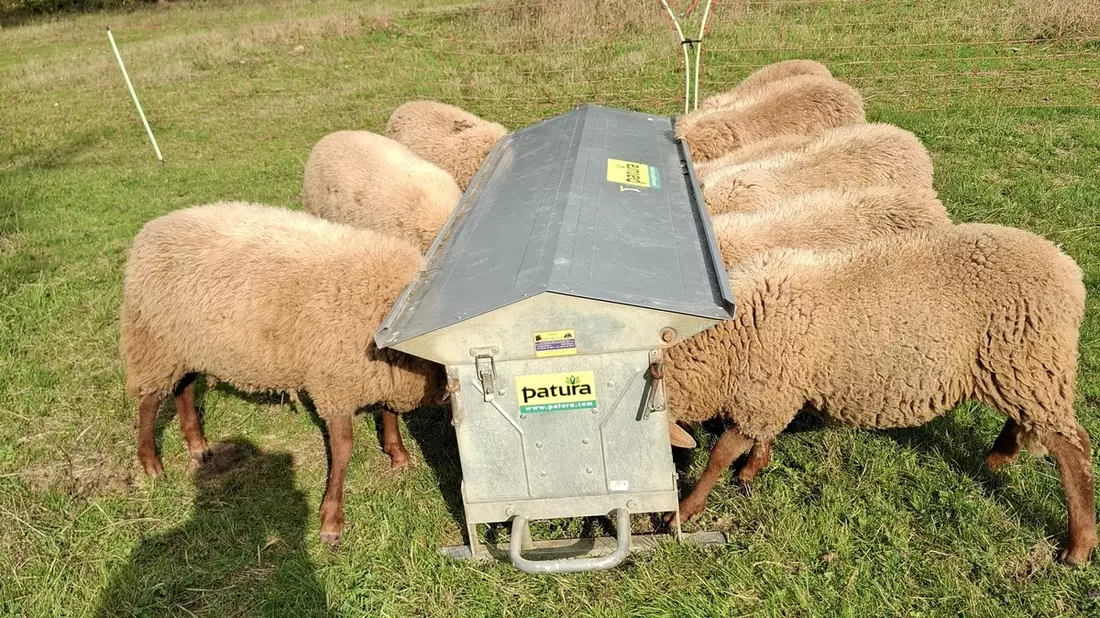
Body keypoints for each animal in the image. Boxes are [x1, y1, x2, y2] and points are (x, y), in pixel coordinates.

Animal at [121, 201, 444, 545]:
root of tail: (152, 228)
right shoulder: (334, 383)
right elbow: (343, 448)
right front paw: (331, 519)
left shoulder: (381, 372)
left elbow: (388, 412)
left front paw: (398, 455)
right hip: (156, 343)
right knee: (149, 401)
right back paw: (151, 464)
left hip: (187, 344)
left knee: (185, 388)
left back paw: (198, 447)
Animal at [662, 223, 1095, 565]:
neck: (725, 340)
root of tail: (1069, 270)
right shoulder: (773, 388)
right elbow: (755, 439)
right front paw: (752, 469)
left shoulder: (766, 391)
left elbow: (720, 455)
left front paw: (684, 511)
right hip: (1018, 367)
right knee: (1027, 422)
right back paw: (996, 460)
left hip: (1031, 357)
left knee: (1074, 448)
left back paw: (1079, 546)